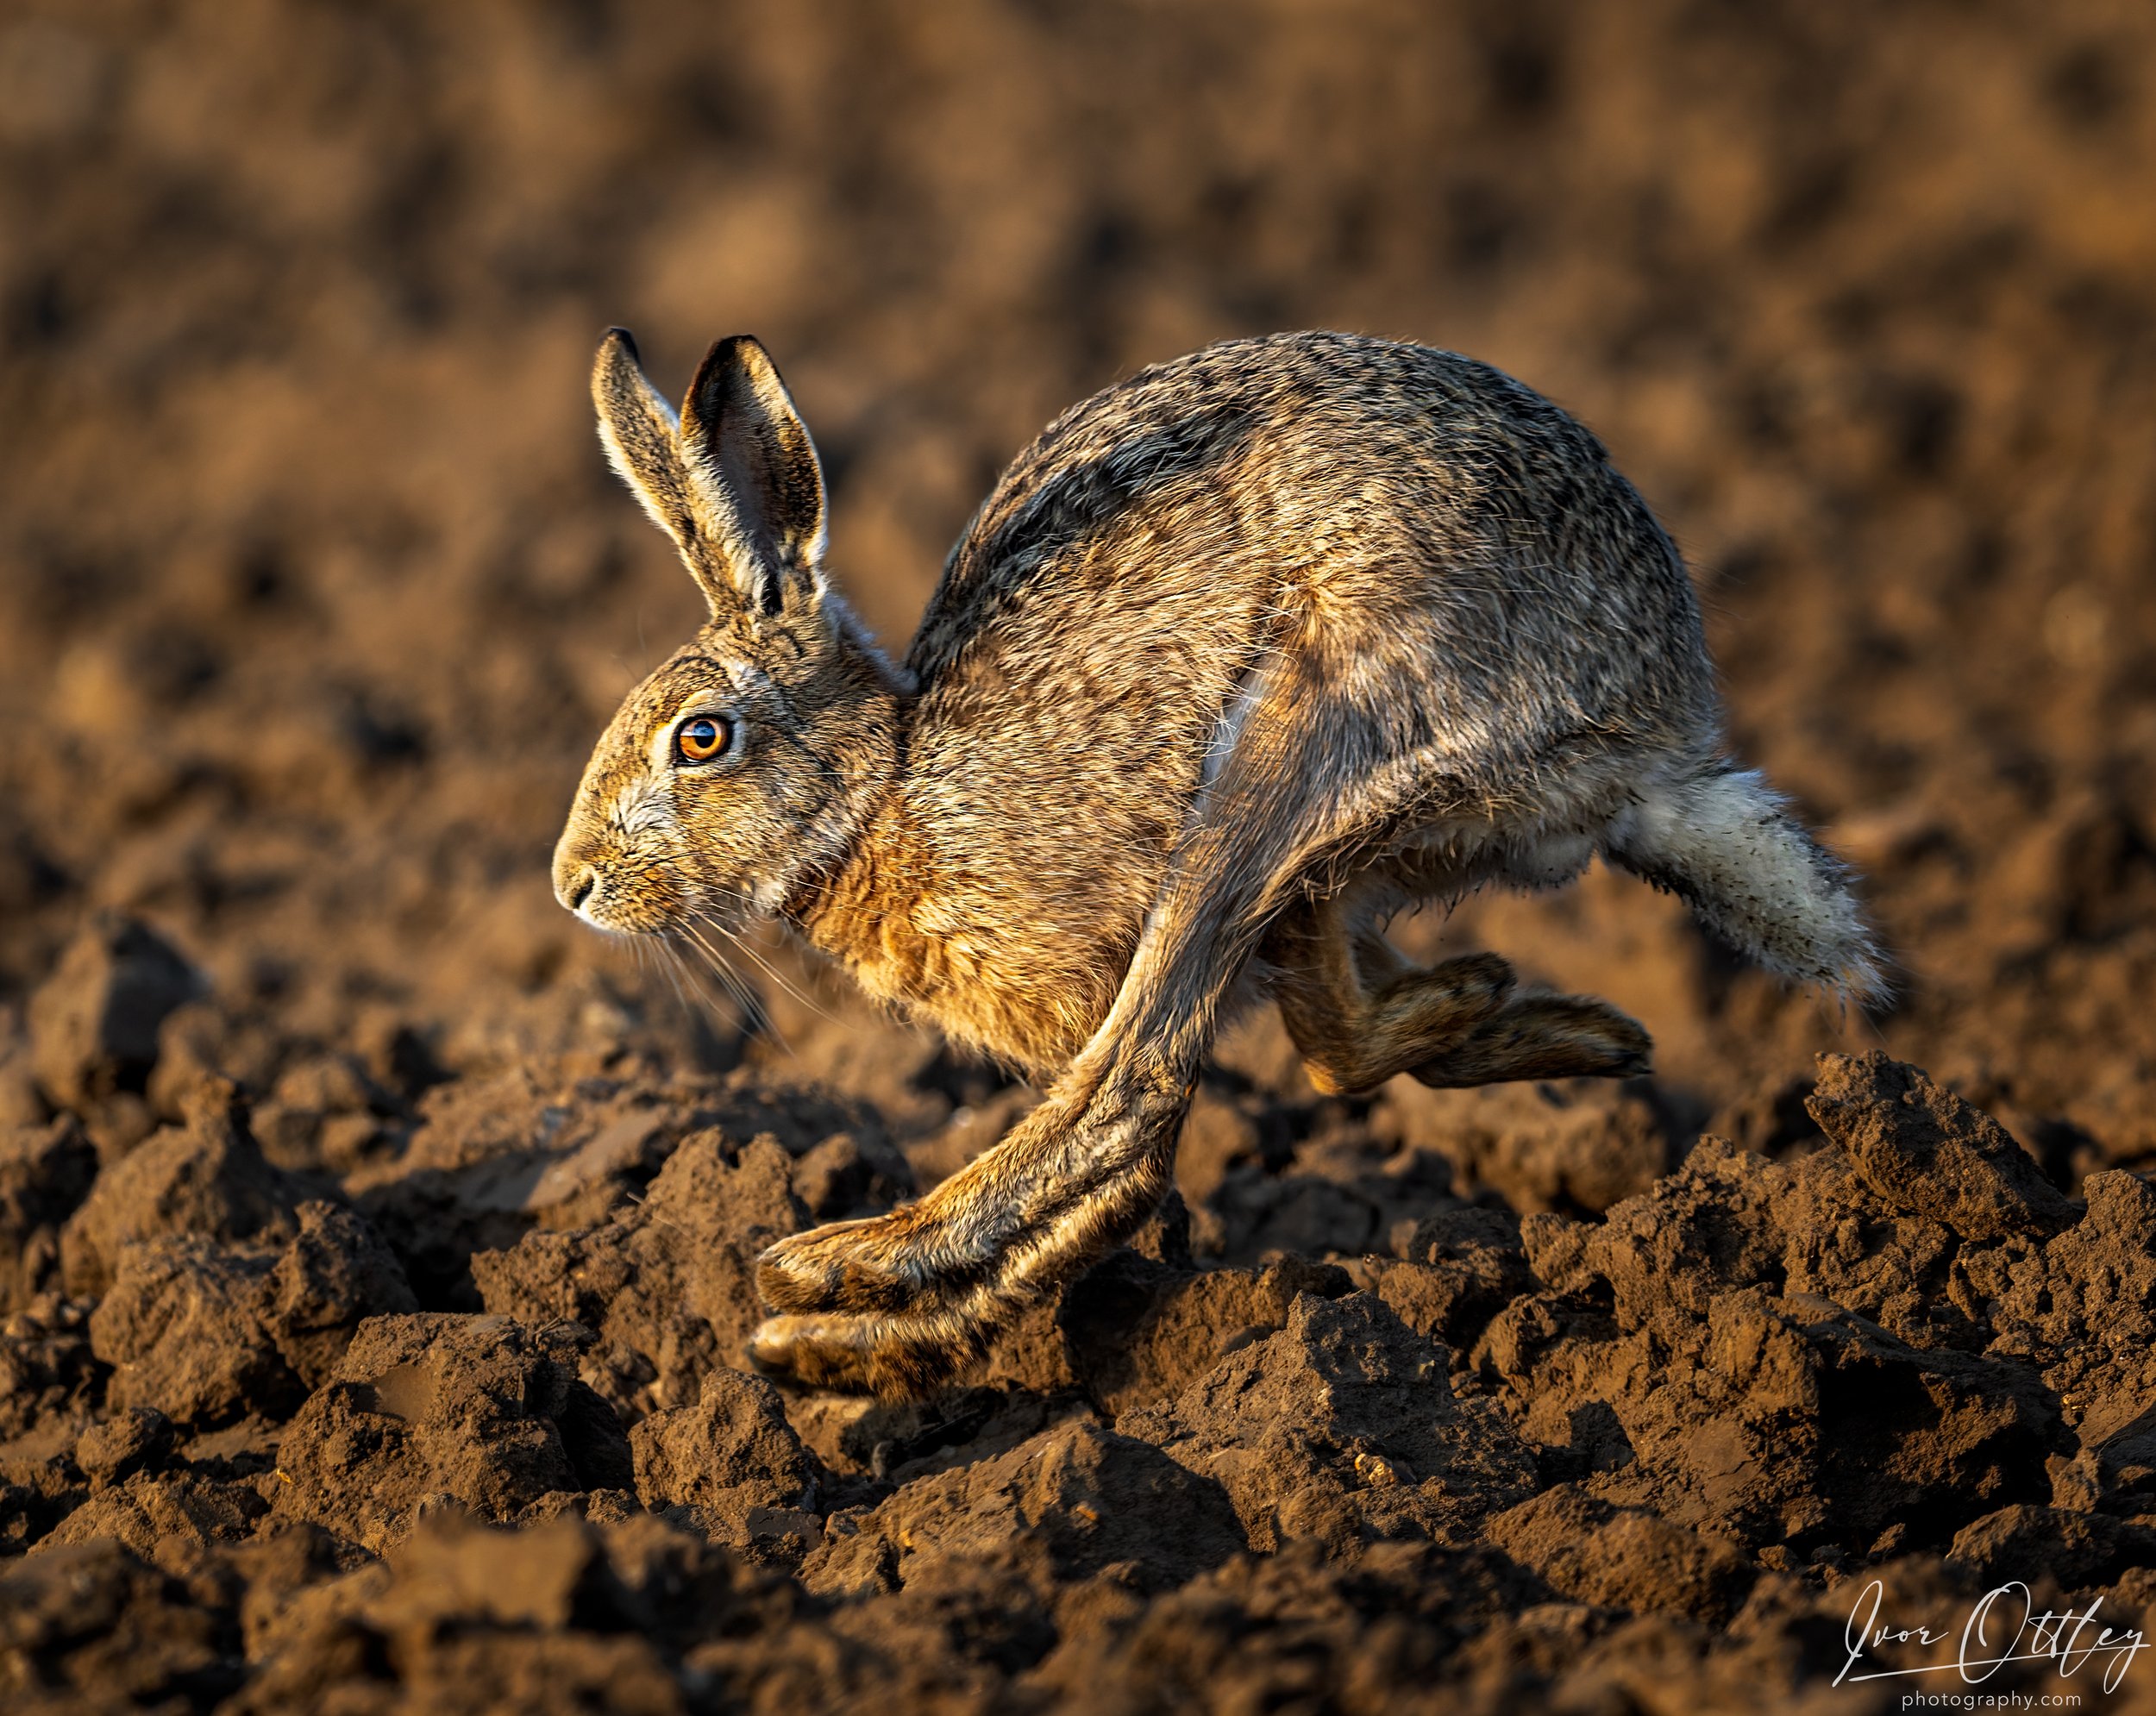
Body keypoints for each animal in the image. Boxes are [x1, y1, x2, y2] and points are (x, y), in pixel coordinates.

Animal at [552, 326, 1883, 1399]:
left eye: (701, 738)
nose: (572, 886)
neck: (884, 783)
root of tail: (1659, 730)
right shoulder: (1312, 906)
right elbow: (1331, 1019)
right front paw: (1481, 1007)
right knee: (1301, 1049)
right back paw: (1552, 1022)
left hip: (1305, 725)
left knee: (1130, 1107)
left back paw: (831, 1299)